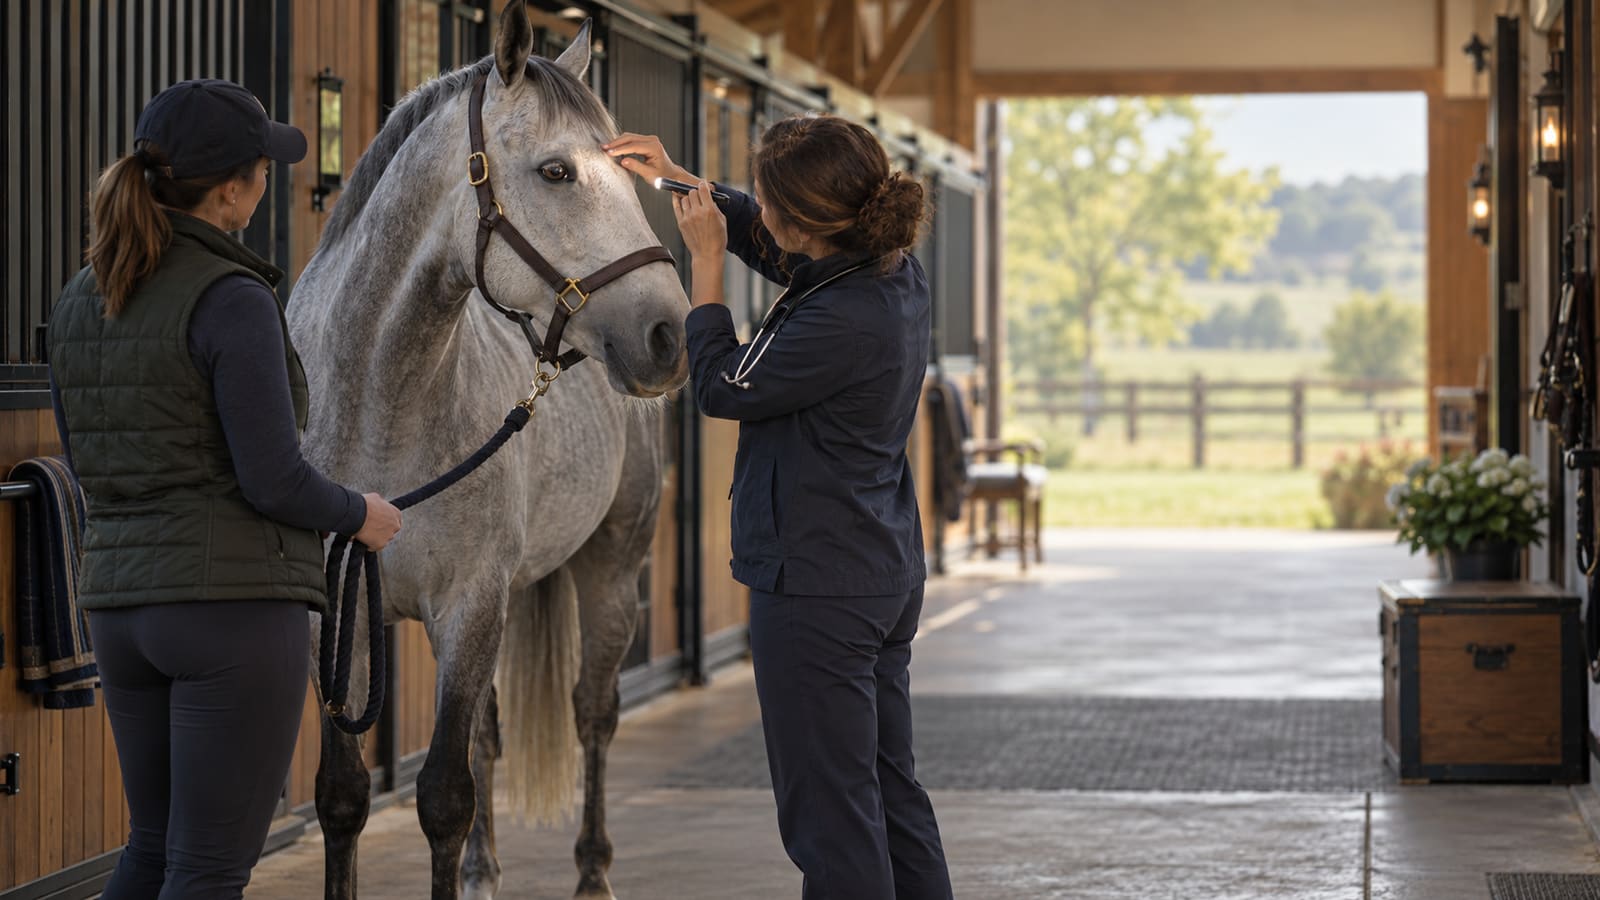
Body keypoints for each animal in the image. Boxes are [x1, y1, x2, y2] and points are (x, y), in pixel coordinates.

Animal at [284, 5, 689, 898]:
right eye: (556, 171)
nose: (669, 336)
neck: (379, 411)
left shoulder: (470, 608)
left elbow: (443, 796)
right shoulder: (338, 617)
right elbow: (343, 797)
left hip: (609, 574)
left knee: (591, 714)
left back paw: (593, 872)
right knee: (491, 734)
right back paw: (484, 870)